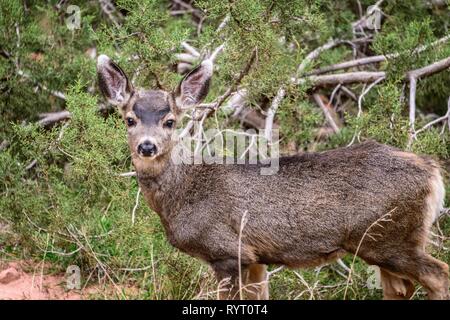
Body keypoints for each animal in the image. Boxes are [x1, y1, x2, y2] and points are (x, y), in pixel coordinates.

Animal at [96, 53, 448, 300]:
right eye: (129, 119)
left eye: (169, 121)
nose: (147, 146)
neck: (183, 194)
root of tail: (433, 172)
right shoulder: (255, 258)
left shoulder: (227, 250)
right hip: (387, 243)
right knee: (401, 289)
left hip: (388, 238)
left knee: (439, 275)